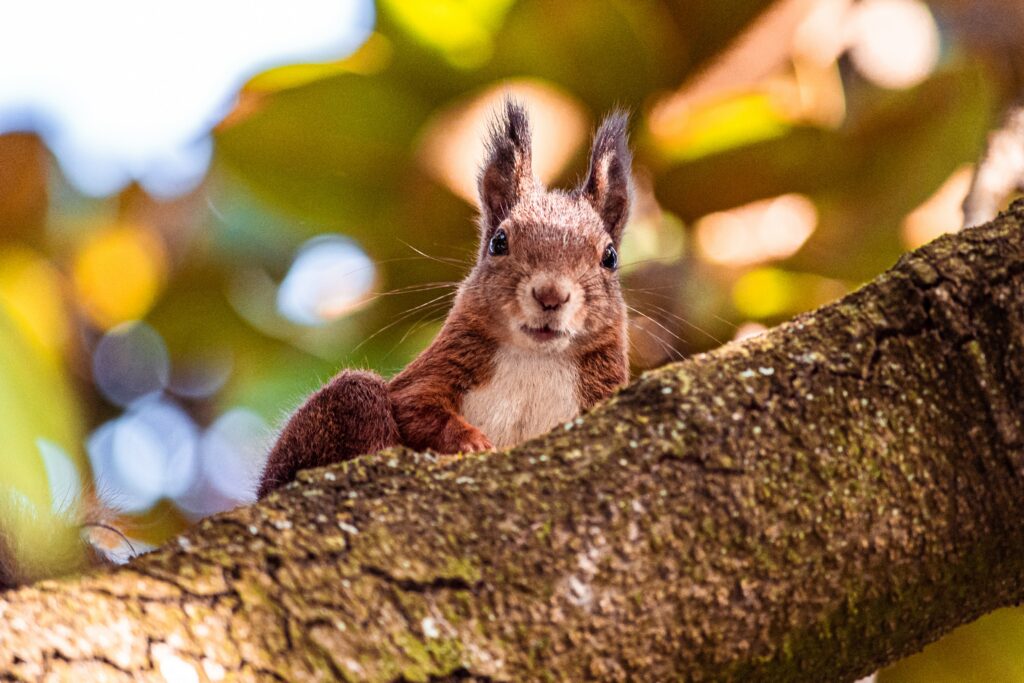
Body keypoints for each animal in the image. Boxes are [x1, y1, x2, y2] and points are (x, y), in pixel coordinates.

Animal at [258, 99, 633, 498]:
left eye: (610, 257)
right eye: (498, 242)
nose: (550, 294)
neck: (536, 359)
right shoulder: (437, 370)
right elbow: (418, 408)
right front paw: (471, 442)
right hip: (343, 406)